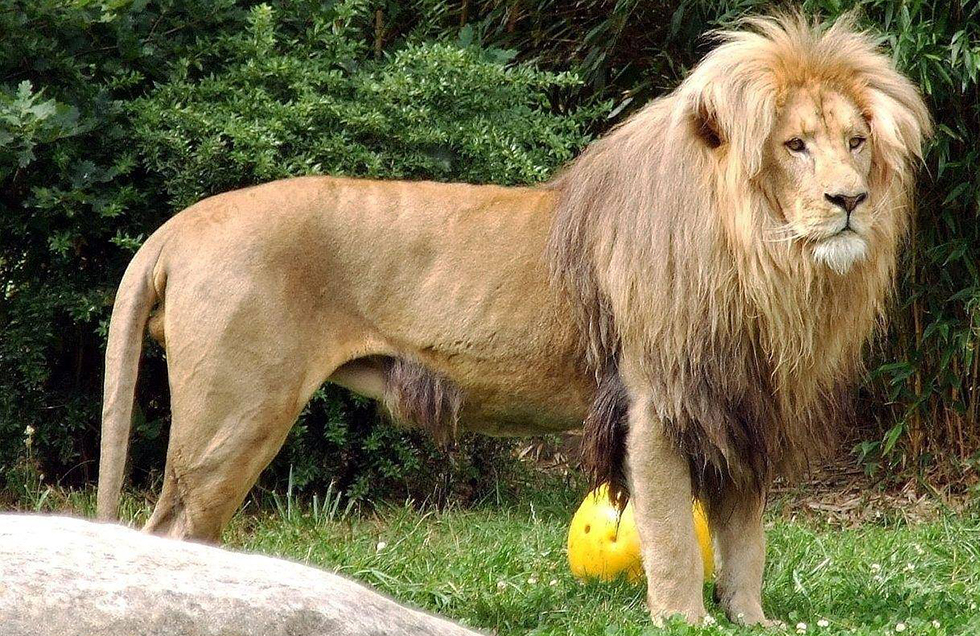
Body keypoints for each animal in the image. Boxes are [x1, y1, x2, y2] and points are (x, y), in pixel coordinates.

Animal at [97, 14, 929, 625]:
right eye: (795, 146)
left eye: (856, 142)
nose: (850, 200)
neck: (768, 265)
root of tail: (179, 226)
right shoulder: (657, 404)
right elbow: (670, 534)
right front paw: (684, 620)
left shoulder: (740, 406)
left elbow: (744, 539)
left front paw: (753, 622)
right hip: (235, 419)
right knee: (168, 535)